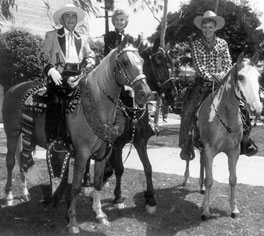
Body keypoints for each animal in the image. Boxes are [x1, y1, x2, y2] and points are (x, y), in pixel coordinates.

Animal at [1, 35, 151, 234]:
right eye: (125, 62)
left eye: (142, 61)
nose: (145, 94)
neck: (95, 104)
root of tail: (14, 88)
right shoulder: (82, 154)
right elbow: (76, 187)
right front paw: (72, 221)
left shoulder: (103, 154)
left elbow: (97, 182)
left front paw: (99, 214)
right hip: (12, 133)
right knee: (10, 161)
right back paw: (9, 195)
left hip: (26, 136)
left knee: (22, 159)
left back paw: (25, 193)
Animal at [81, 39, 176, 214]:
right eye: (158, 62)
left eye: (172, 63)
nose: (173, 93)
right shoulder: (117, 143)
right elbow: (120, 169)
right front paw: (118, 198)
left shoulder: (140, 141)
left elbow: (148, 167)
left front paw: (150, 199)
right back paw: (86, 182)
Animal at [189, 52, 260, 219]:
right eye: (240, 77)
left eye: (258, 76)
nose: (257, 107)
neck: (225, 115)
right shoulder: (209, 149)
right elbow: (210, 180)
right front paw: (206, 211)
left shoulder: (234, 151)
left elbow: (233, 179)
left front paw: (234, 209)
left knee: (202, 164)